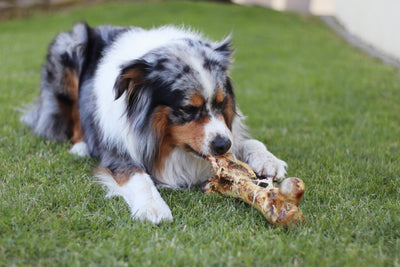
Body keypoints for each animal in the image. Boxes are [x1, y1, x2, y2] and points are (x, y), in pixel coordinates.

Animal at [21, 23, 288, 224]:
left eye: (222, 104)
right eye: (188, 109)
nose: (222, 145)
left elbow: (248, 142)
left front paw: (268, 160)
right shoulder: (117, 150)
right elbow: (138, 175)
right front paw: (153, 207)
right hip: (69, 53)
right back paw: (80, 146)